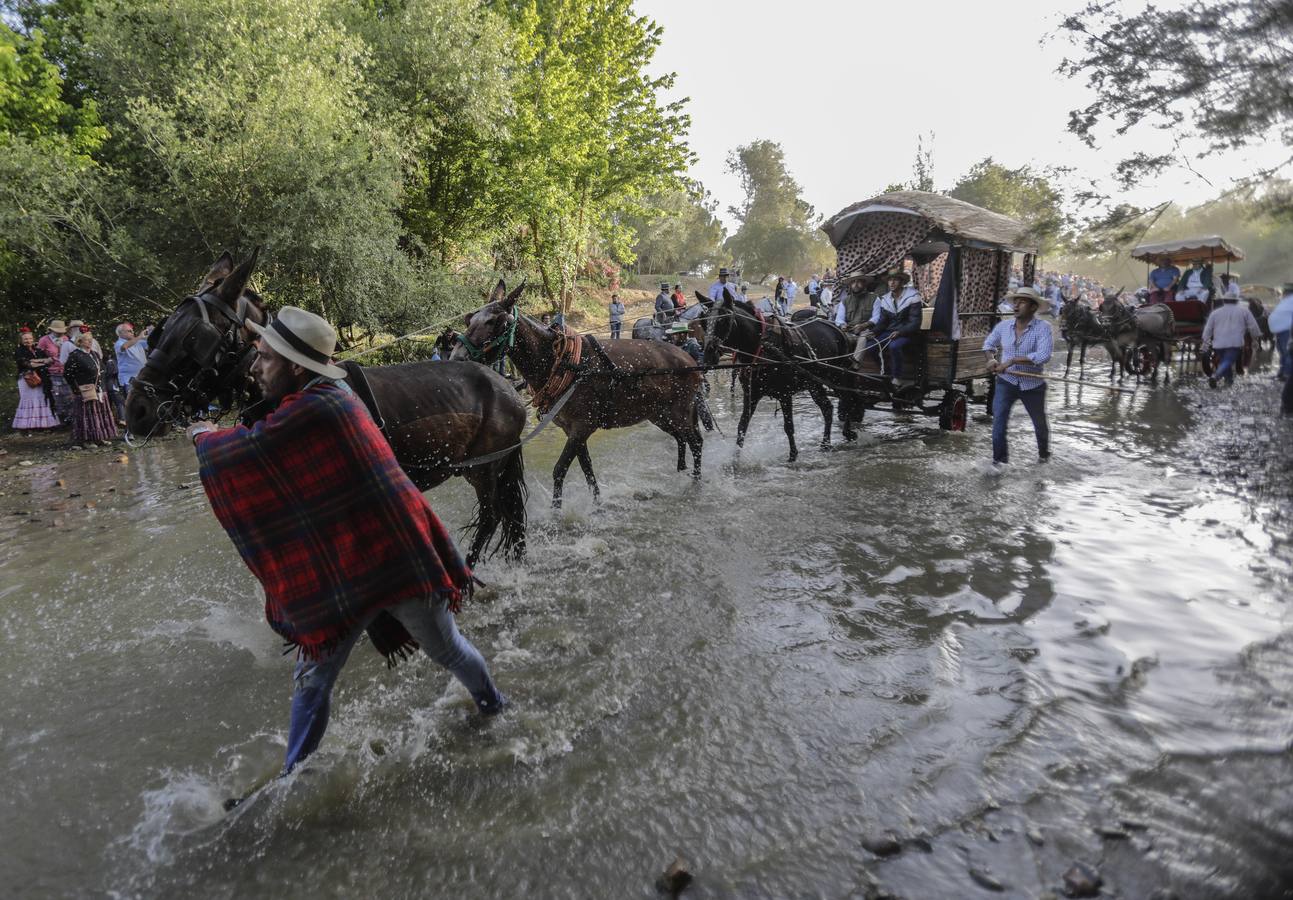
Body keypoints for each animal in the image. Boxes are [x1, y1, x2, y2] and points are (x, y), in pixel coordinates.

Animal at [121, 249, 524, 566]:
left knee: (491, 517)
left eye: (194, 337)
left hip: (485, 468)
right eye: (161, 330)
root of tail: (506, 386)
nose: (135, 408)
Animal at [449, 279, 703, 506]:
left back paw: (695, 483)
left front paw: (556, 513)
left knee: (695, 441)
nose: (457, 358)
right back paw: (681, 472)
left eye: (493, 321)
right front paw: (597, 504)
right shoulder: (573, 430)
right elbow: (587, 469)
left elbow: (560, 470)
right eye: (469, 319)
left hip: (678, 412)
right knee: (681, 439)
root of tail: (689, 359)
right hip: (660, 415)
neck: (559, 362)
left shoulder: (582, 427)